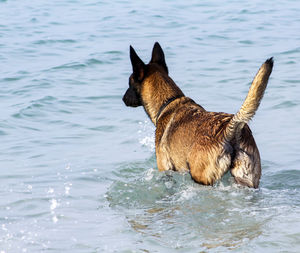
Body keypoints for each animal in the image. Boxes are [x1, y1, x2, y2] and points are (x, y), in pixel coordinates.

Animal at [123, 42, 274, 188]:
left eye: (129, 83)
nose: (123, 98)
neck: (168, 101)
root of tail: (229, 129)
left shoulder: (165, 169)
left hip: (200, 177)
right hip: (247, 180)